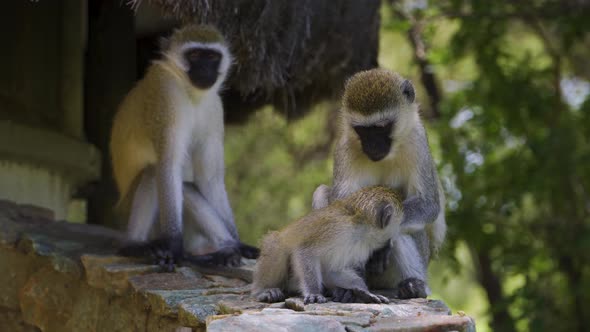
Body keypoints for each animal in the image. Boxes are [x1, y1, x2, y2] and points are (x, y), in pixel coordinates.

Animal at [111, 24, 260, 270]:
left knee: (188, 188)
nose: (205, 70)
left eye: (212, 57)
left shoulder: (215, 107)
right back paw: (133, 245)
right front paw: (173, 246)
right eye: (195, 55)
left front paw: (238, 241)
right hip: (125, 215)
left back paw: (229, 249)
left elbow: (209, 178)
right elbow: (168, 164)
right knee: (154, 173)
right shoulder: (165, 95)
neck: (191, 92)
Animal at [252, 185, 404, 304]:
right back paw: (262, 290)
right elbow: (304, 250)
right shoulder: (335, 229)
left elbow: (332, 270)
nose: (397, 232)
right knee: (277, 245)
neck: (361, 227)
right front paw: (313, 292)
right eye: (398, 223)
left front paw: (363, 290)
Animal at [312, 68, 446, 300]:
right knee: (321, 193)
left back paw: (415, 286)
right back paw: (342, 286)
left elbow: (428, 204)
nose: (372, 146)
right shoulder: (344, 146)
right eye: (362, 130)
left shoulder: (418, 142)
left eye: (381, 127)